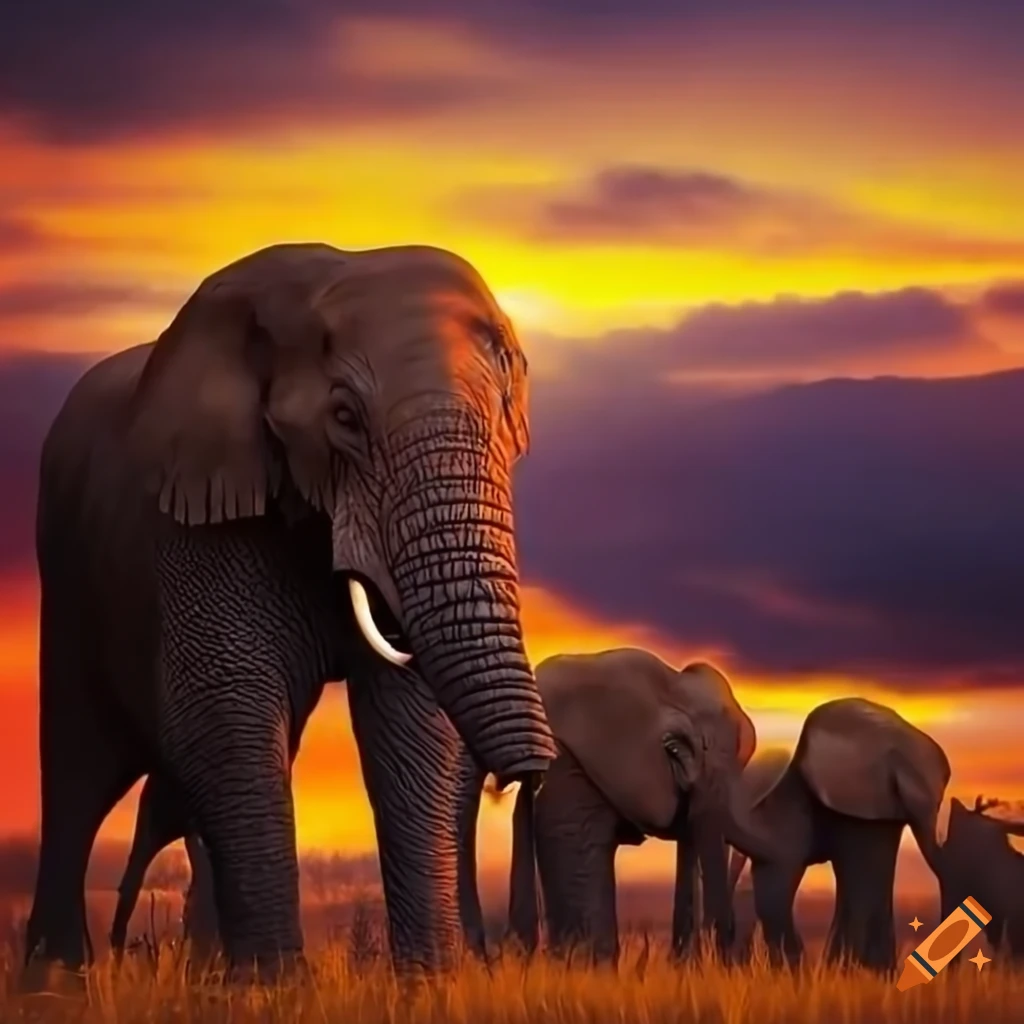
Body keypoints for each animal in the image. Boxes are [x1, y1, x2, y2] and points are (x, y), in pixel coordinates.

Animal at [24, 242, 557, 983]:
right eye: (345, 420)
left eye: (505, 411)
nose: (525, 784)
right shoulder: (203, 503)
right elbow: (224, 703)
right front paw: (273, 988)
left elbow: (410, 721)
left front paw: (427, 983)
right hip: (69, 571)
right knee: (79, 770)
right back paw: (56, 982)